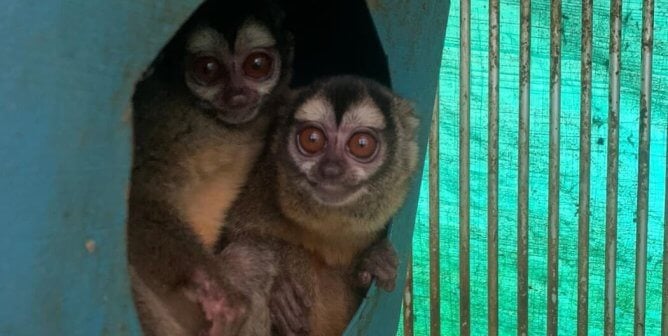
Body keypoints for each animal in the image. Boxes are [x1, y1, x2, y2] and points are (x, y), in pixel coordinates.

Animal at [125, 1, 292, 334]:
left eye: (257, 65)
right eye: (207, 70)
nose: (237, 95)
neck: (219, 128)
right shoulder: (160, 123)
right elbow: (139, 199)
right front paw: (219, 296)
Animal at [207, 76, 418, 336]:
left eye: (361, 144)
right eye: (312, 139)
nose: (331, 170)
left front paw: (376, 261)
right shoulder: (260, 186)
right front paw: (281, 291)